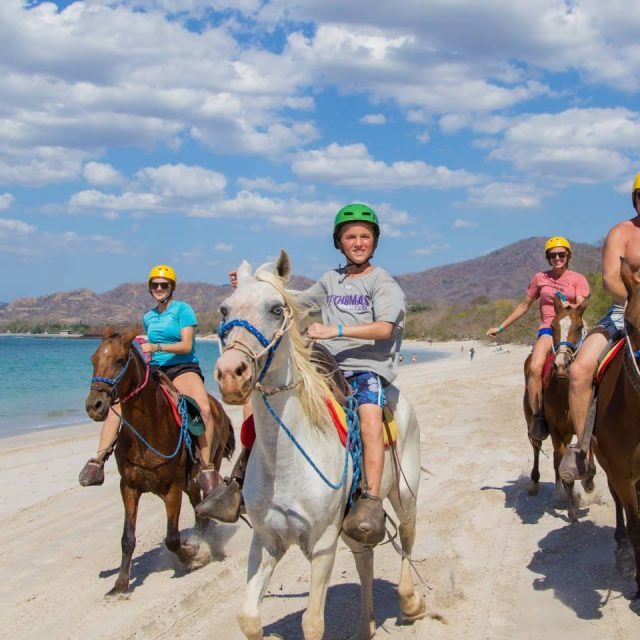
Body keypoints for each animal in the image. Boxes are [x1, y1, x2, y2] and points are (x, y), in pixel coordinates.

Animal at [85, 326, 235, 597]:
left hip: (208, 466)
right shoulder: (129, 487)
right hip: (190, 483)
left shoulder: (171, 488)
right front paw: (120, 584)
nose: (95, 405)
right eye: (94, 359)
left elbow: (172, 538)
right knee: (199, 508)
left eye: (120, 360)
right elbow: (127, 539)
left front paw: (193, 556)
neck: (147, 430)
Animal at [211, 251, 426, 640]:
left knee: (406, 539)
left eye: (276, 309)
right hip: (352, 524)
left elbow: (312, 623)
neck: (287, 461)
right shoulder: (265, 541)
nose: (231, 374)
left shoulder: (323, 544)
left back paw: (411, 602)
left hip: (404, 496)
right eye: (224, 309)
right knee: (365, 557)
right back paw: (366, 625)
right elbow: (249, 618)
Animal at [524, 295, 590, 521]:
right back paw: (536, 484)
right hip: (534, 423)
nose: (561, 365)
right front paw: (569, 505)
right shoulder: (555, 429)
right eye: (552, 327)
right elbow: (561, 462)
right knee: (537, 447)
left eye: (579, 327)